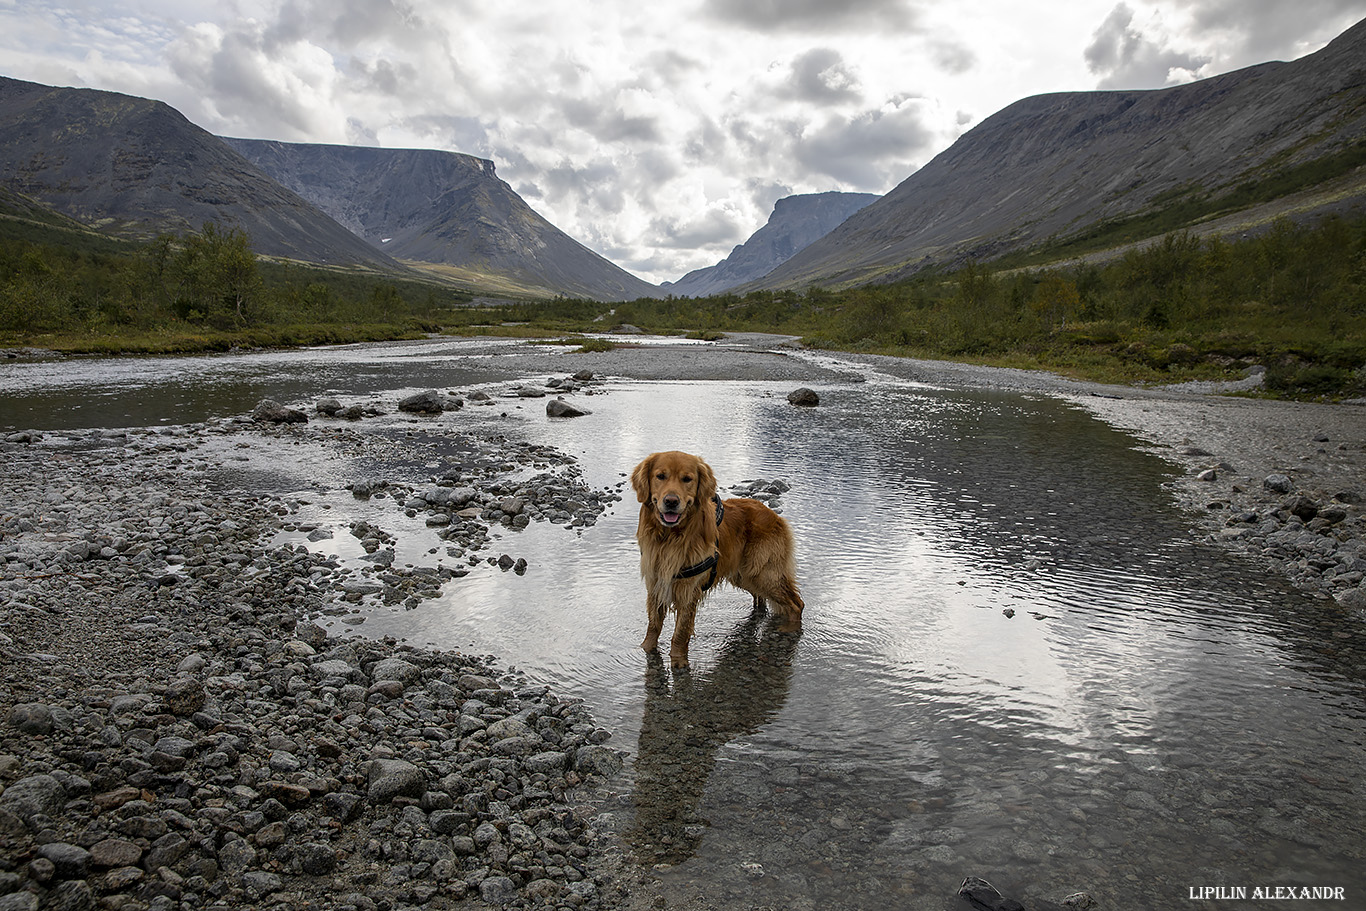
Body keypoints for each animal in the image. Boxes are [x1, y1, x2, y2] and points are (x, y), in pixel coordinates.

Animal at [633, 450, 803, 669]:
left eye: (687, 479)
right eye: (660, 476)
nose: (671, 501)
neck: (670, 538)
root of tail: (774, 515)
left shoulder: (689, 589)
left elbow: (681, 631)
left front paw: (678, 661)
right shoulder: (656, 582)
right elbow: (653, 624)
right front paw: (646, 649)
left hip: (765, 574)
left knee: (797, 603)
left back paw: (789, 630)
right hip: (744, 576)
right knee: (762, 599)